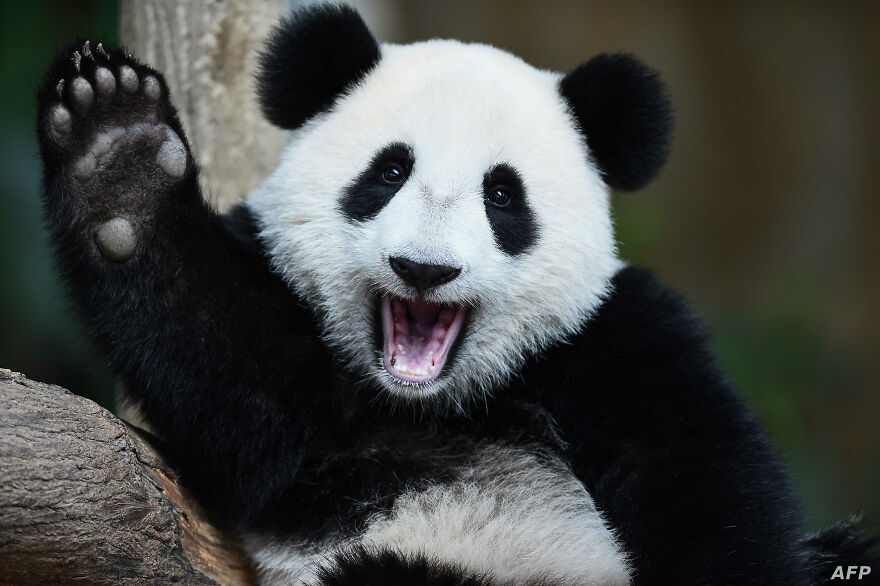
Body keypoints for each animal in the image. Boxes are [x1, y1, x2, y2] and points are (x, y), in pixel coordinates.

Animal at [36, 3, 876, 585]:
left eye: (502, 194)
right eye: (389, 172)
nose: (424, 269)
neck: (433, 402)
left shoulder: (610, 334)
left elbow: (697, 476)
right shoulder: (301, 398)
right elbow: (233, 375)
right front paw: (120, 155)